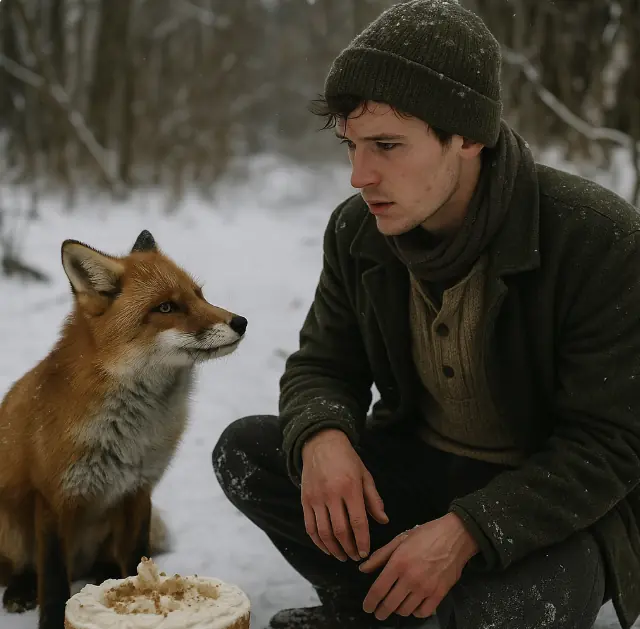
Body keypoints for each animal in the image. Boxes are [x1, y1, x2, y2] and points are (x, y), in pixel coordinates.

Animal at [0, 229, 247, 629]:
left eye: (199, 294)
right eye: (166, 308)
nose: (240, 322)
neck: (129, 431)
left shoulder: (139, 489)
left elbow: (136, 556)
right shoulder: (53, 497)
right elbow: (52, 579)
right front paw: (51, 620)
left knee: (105, 562)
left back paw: (103, 574)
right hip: (10, 522)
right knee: (19, 568)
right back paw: (20, 589)